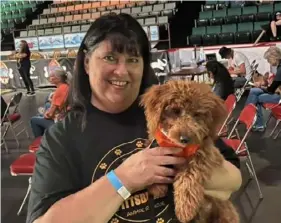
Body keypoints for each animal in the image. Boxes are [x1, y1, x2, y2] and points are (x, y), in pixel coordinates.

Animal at [140, 80, 238, 223]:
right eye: (175, 111)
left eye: (197, 114)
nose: (185, 138)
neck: (179, 147)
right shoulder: (158, 146)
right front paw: (156, 185)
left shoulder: (205, 153)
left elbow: (189, 175)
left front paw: (185, 209)